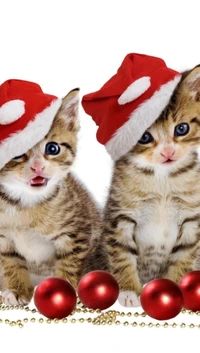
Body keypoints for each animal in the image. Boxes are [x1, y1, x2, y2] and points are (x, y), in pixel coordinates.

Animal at [85, 64, 200, 306]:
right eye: (144, 137)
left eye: (182, 129)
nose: (168, 152)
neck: (163, 179)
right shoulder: (120, 217)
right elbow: (122, 255)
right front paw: (129, 291)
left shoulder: (191, 219)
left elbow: (183, 257)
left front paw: (176, 288)